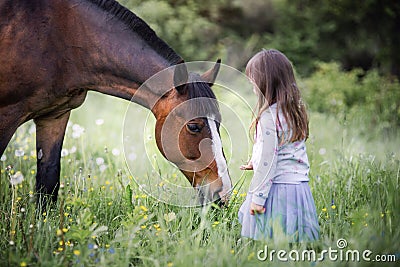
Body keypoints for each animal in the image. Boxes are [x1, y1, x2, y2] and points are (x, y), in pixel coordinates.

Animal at [0, 0, 231, 205]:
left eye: (219, 123)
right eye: (193, 126)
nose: (223, 193)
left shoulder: (55, 115)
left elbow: (48, 183)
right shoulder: (7, 115)